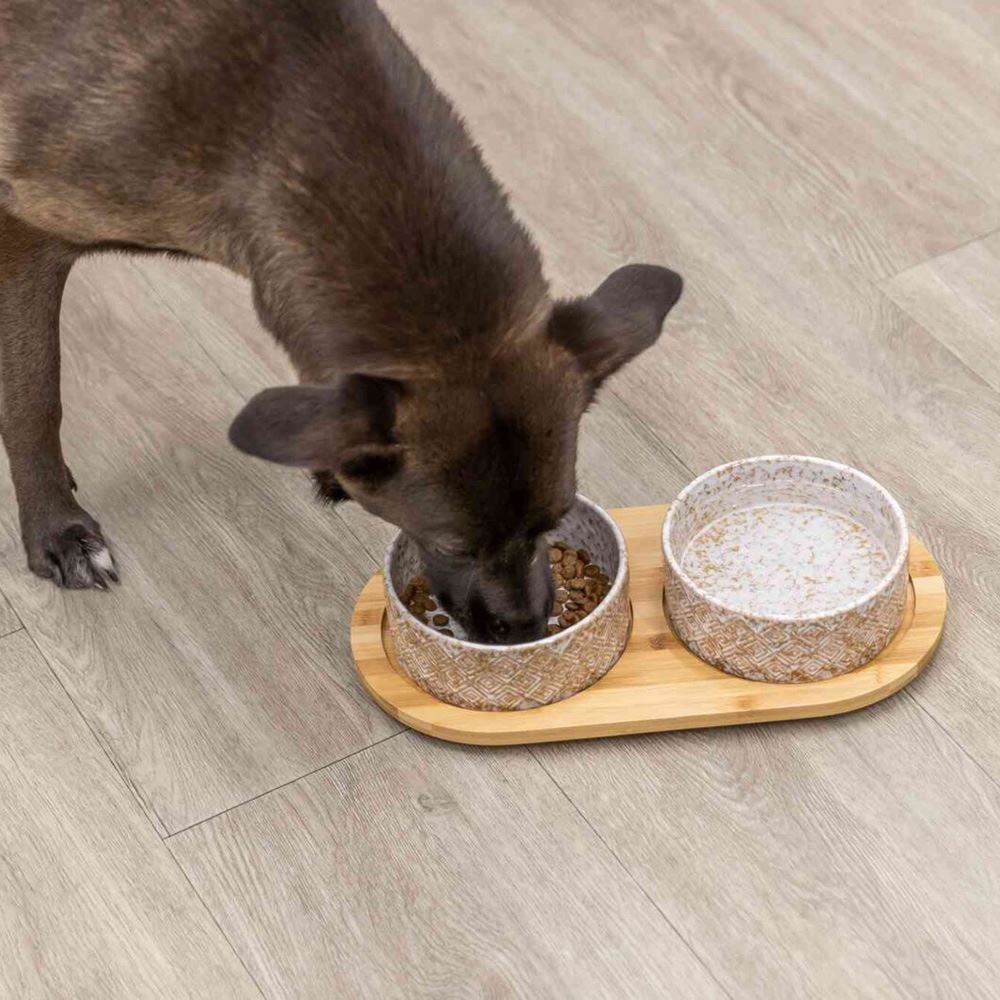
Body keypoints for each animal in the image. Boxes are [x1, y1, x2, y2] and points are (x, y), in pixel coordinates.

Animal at [0, 0, 680, 640]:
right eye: (453, 546)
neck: (269, 123)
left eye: (554, 520)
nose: (527, 631)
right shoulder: (25, 236)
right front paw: (57, 531)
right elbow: (34, 397)